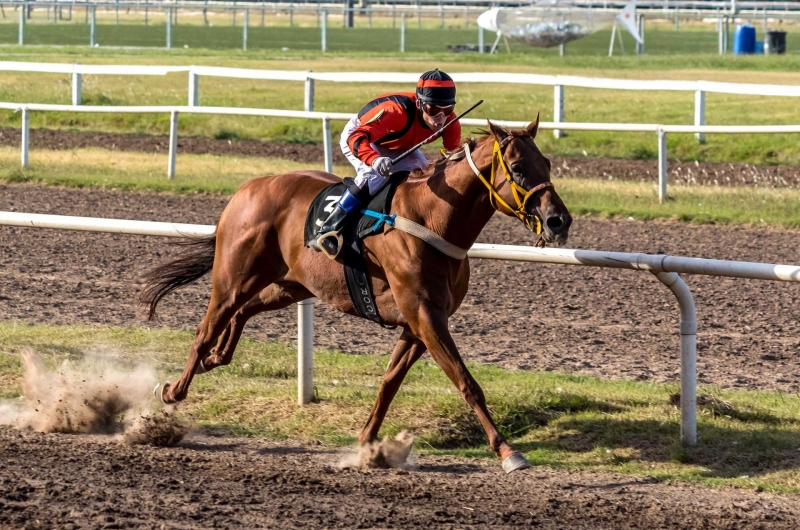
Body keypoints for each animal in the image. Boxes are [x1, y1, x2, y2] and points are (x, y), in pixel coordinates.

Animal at [141, 118, 572, 470]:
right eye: (518, 168)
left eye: (548, 163)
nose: (559, 221)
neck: (431, 219)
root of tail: (247, 188)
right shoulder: (425, 316)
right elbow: (468, 384)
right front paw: (508, 451)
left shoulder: (419, 324)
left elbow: (389, 382)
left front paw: (368, 445)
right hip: (233, 277)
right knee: (207, 328)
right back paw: (173, 392)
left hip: (289, 284)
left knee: (243, 312)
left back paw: (217, 358)